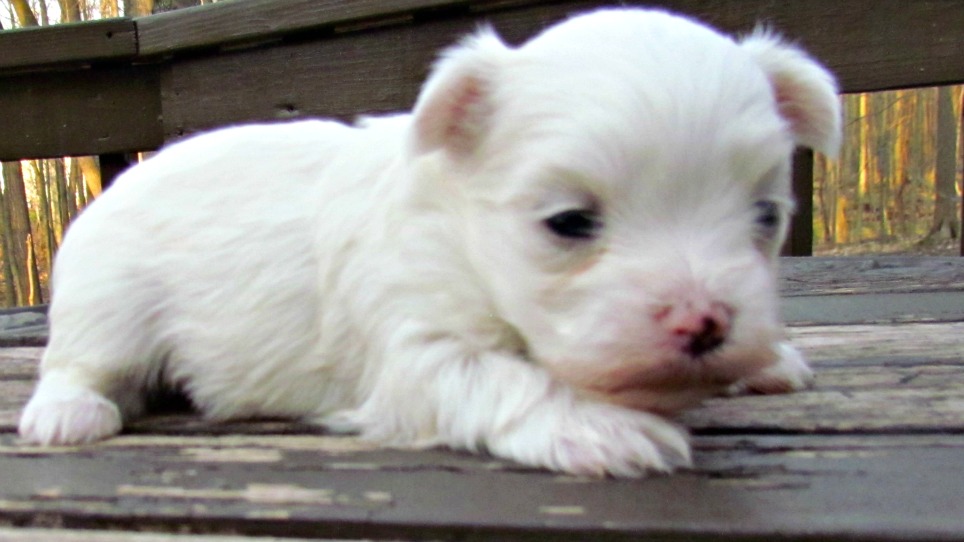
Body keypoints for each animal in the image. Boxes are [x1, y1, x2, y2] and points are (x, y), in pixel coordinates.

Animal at [18, 7, 840, 476]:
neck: (463, 236)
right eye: (569, 223)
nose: (705, 322)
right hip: (108, 306)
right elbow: (510, 379)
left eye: (766, 216)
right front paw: (603, 424)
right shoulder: (416, 351)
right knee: (75, 365)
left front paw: (769, 361)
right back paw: (67, 415)